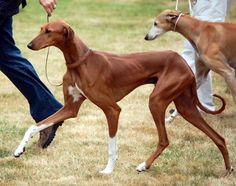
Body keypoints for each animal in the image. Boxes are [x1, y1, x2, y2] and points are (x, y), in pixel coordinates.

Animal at [14, 20, 232, 176]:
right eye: (41, 29)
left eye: (49, 31)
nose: (29, 45)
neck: (79, 63)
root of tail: (184, 63)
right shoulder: (71, 108)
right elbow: (35, 125)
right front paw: (19, 149)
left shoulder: (112, 110)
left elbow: (111, 144)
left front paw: (108, 170)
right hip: (185, 107)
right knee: (219, 138)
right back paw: (228, 169)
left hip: (156, 101)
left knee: (164, 140)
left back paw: (144, 165)